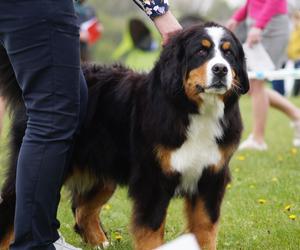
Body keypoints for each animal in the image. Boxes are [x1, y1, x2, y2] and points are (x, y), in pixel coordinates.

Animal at [0, 23, 248, 250]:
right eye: (201, 51)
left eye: (229, 53)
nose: (221, 69)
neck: (195, 112)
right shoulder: (153, 180)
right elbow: (151, 231)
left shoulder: (211, 176)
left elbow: (206, 228)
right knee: (13, 209)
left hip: (103, 169)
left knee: (82, 211)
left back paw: (101, 243)